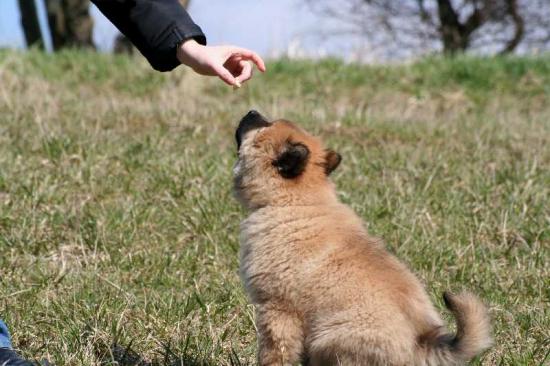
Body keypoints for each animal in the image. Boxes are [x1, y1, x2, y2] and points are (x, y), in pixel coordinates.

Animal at [235, 111, 494, 366]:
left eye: (264, 125)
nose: (251, 111)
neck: (297, 202)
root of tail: (423, 344)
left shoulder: (276, 309)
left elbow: (274, 352)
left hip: (329, 336)